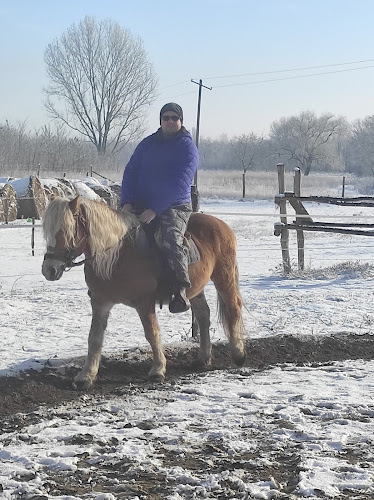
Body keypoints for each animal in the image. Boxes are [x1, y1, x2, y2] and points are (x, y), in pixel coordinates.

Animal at [41, 193, 245, 388]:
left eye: (66, 231)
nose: (49, 270)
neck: (118, 254)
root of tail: (221, 224)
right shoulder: (100, 302)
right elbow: (94, 338)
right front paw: (86, 377)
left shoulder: (144, 303)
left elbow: (152, 333)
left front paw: (158, 369)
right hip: (195, 289)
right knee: (203, 316)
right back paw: (203, 359)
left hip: (224, 276)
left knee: (233, 308)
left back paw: (239, 354)